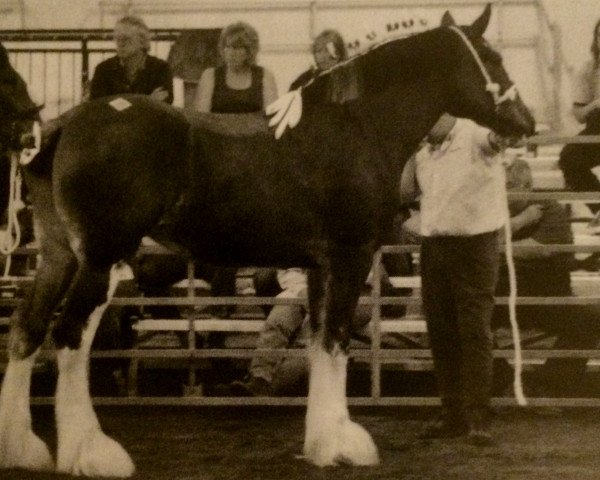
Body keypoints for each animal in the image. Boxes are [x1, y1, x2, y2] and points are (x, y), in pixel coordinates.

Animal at [0, 5, 536, 478]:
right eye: (492, 59)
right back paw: (90, 453)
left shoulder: (320, 267)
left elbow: (320, 343)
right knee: (69, 337)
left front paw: (322, 442)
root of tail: (64, 125)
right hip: (101, 258)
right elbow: (337, 341)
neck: (357, 127)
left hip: (58, 256)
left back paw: (23, 448)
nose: (526, 124)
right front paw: (344, 445)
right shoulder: (350, 257)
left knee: (27, 329)